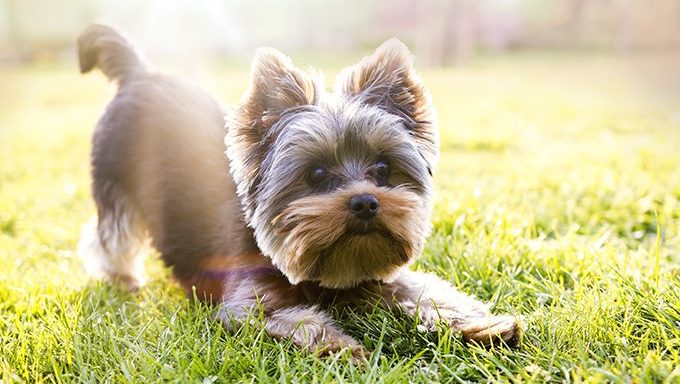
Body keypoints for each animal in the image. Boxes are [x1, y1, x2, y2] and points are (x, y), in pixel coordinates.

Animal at [75, 24, 520, 356]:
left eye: (383, 168)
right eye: (316, 174)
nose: (365, 202)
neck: (326, 273)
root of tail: (138, 72)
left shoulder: (380, 275)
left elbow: (428, 292)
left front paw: (483, 325)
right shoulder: (247, 304)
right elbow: (298, 319)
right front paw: (341, 346)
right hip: (114, 181)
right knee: (111, 235)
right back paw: (122, 277)